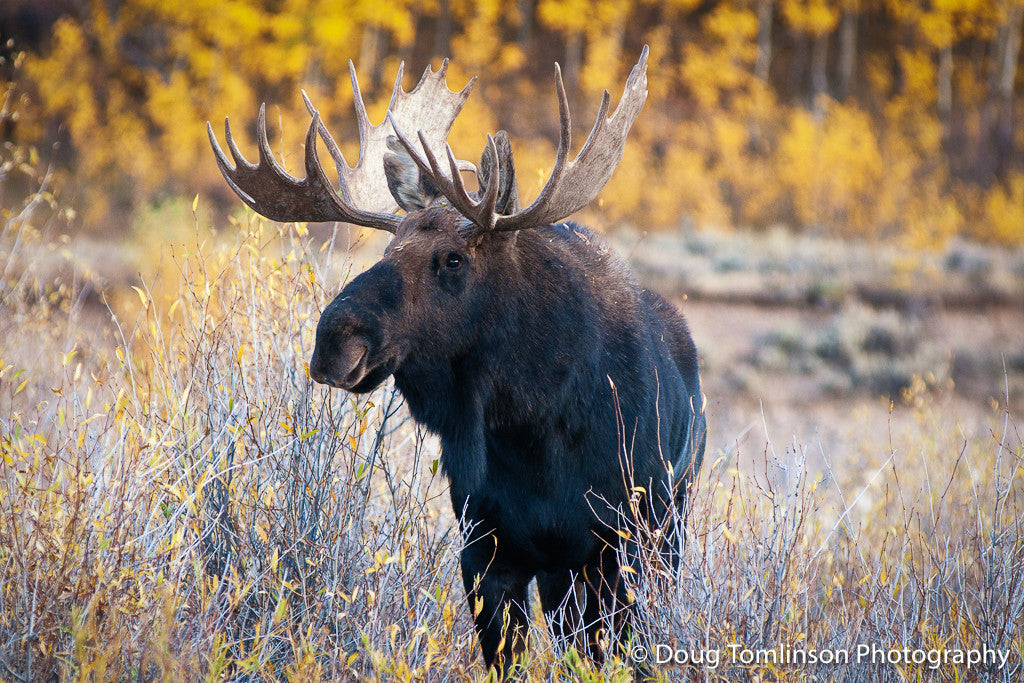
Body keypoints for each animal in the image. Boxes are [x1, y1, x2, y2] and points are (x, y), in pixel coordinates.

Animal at [208, 46, 706, 675]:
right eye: (389, 246)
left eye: (452, 259)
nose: (333, 341)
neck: (532, 430)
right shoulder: (486, 550)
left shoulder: (620, 548)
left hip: (666, 530)